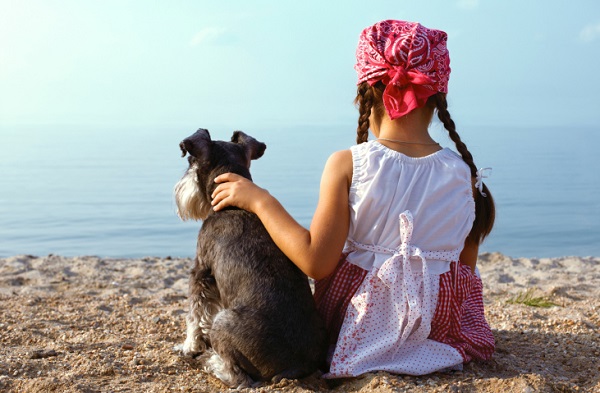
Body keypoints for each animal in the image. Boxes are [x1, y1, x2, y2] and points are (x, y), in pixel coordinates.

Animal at [171, 128, 326, 386]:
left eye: (191, 162)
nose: (179, 190)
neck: (234, 204)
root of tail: (297, 365)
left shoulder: (201, 271)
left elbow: (196, 314)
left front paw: (189, 346)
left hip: (222, 322)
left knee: (238, 377)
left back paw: (210, 362)